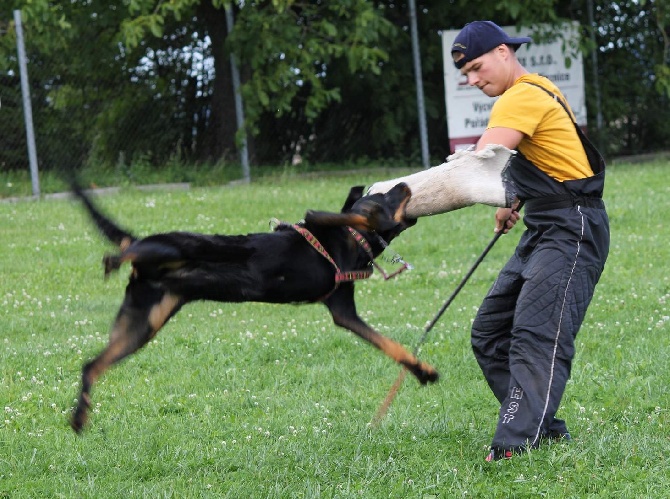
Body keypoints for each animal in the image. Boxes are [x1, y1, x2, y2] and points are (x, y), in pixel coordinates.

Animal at [71, 184, 440, 434]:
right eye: (384, 196)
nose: (404, 184)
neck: (352, 244)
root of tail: (140, 249)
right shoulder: (324, 225)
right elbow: (336, 213)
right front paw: (371, 214)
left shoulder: (343, 311)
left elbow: (390, 345)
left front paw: (422, 371)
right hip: (184, 248)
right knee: (124, 253)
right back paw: (113, 260)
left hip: (143, 323)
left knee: (91, 366)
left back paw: (79, 417)